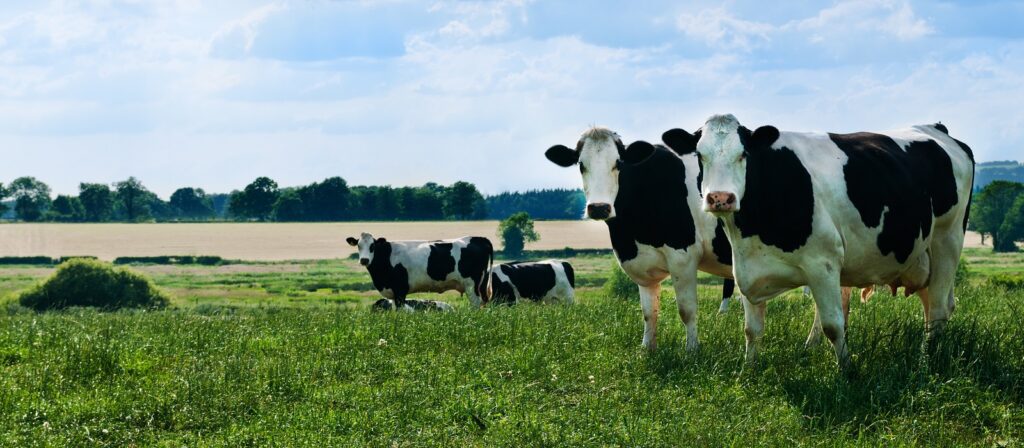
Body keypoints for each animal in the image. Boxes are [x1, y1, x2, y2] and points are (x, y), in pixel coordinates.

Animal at [346, 233, 494, 307]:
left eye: (373, 246)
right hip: (480, 285)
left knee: (476, 304)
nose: (364, 260)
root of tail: (478, 238)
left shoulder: (400, 291)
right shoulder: (393, 293)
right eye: (358, 246)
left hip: (471, 285)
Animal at [545, 127, 737, 351]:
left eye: (618, 163)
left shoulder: (683, 256)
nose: (599, 207)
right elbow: (648, 311)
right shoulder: (642, 264)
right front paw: (647, 349)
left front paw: (691, 350)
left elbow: (686, 310)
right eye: (581, 165)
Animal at [661, 114, 975, 369]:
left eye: (743, 154)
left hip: (947, 239)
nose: (720, 198)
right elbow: (752, 329)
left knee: (938, 308)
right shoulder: (747, 266)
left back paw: (926, 360)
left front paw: (846, 373)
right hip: (920, 255)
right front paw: (748, 371)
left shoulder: (822, 264)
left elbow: (834, 325)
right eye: (700, 155)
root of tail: (937, 128)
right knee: (936, 305)